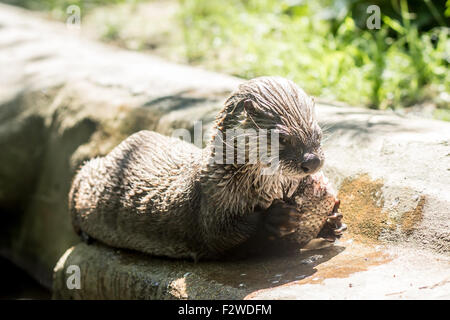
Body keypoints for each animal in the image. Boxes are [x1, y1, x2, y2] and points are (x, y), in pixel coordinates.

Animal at [69, 77, 330, 260]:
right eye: (283, 138)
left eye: (318, 134)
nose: (312, 161)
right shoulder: (213, 199)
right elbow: (221, 235)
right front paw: (275, 218)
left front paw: (333, 219)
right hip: (90, 176)